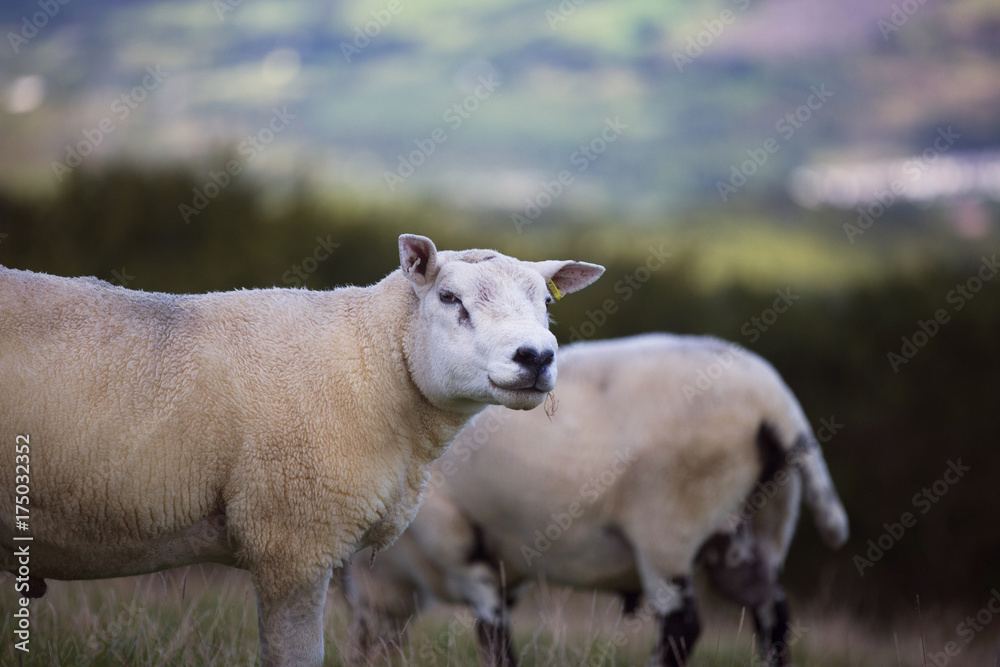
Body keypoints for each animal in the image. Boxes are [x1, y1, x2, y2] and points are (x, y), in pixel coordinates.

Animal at [0, 234, 604, 666]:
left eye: (544, 302)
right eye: (449, 298)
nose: (535, 356)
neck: (375, 363)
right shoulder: (293, 541)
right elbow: (296, 655)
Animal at [346, 333, 849, 667]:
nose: (362, 651)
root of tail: (776, 405)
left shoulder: (458, 545)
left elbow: (493, 635)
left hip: (669, 527)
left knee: (683, 627)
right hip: (756, 527)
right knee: (772, 614)